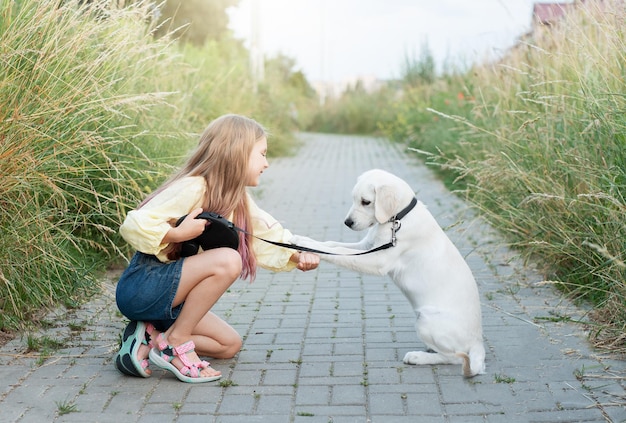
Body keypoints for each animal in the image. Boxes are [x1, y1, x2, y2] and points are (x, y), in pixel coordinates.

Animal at [290, 169, 486, 378]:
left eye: (366, 202)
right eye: (354, 199)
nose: (347, 223)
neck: (399, 219)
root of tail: (478, 342)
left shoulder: (377, 260)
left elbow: (338, 252)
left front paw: (304, 242)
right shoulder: (366, 246)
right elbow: (331, 245)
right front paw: (304, 241)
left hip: (426, 320)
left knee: (454, 357)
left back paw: (418, 357)